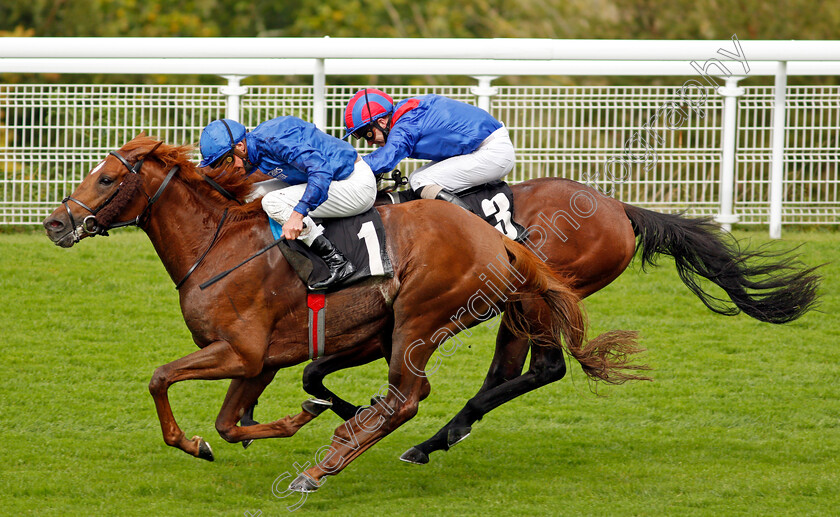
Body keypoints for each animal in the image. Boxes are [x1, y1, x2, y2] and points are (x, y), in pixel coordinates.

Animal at [39, 133, 648, 492]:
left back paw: (323, 469)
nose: (54, 223)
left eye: (107, 178)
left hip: (423, 318)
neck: (218, 245)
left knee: (410, 397)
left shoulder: (239, 351)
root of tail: (494, 237)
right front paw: (301, 415)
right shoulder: (261, 361)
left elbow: (160, 379)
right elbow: (232, 422)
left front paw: (192, 443)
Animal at [294, 173, 820, 464]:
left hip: (539, 298)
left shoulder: (399, 330)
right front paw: (347, 411)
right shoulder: (380, 332)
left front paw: (355, 416)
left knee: (546, 368)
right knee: (507, 371)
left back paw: (438, 437)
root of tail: (618, 207)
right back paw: (444, 436)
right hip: (523, 304)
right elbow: (313, 372)